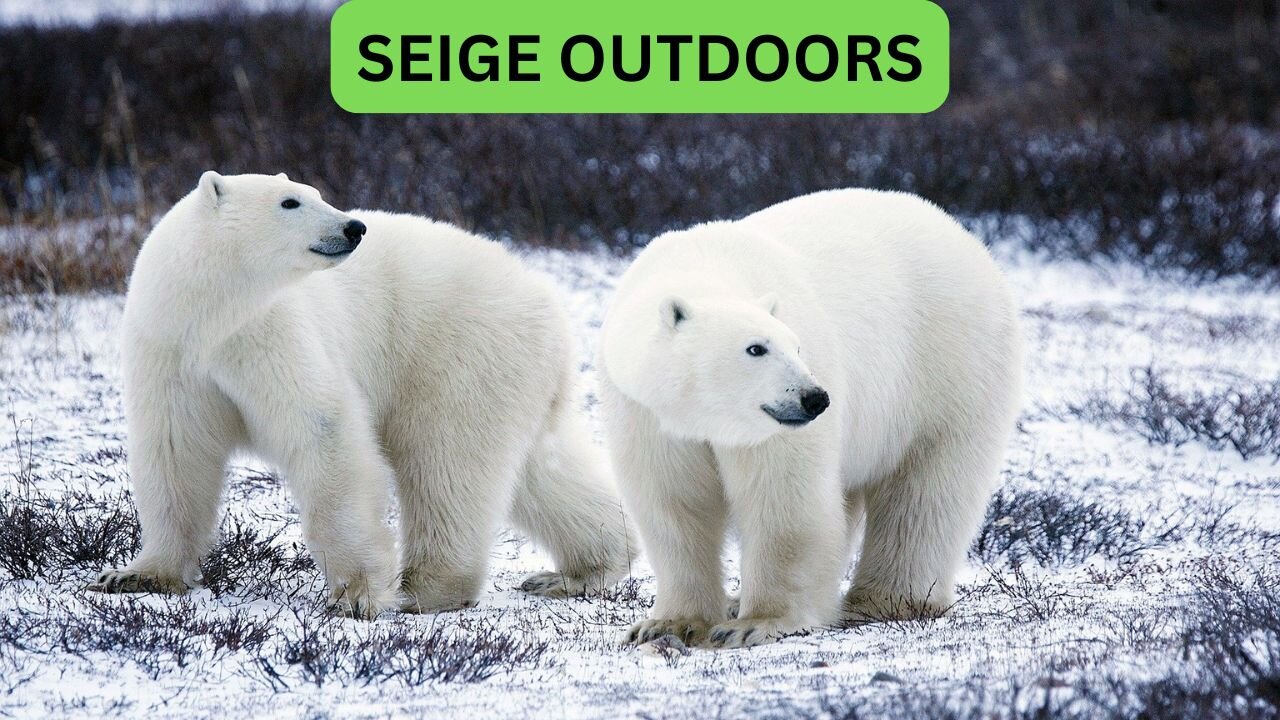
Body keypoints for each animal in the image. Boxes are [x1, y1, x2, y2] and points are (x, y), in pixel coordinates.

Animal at [88, 171, 635, 617]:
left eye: (316, 193)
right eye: (290, 201)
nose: (354, 227)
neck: (211, 315)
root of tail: (548, 301)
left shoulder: (271, 334)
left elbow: (323, 431)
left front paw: (355, 595)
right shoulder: (171, 351)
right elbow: (175, 451)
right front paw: (135, 575)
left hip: (459, 351)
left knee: (446, 462)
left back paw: (426, 589)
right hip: (513, 373)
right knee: (539, 469)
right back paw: (581, 570)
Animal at [600, 188, 1022, 649]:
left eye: (796, 346)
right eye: (756, 348)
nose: (815, 398)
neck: (704, 265)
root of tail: (966, 238)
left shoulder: (774, 428)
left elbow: (784, 499)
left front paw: (755, 623)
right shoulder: (647, 413)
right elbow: (673, 503)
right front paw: (667, 624)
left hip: (948, 366)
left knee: (925, 491)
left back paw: (884, 600)